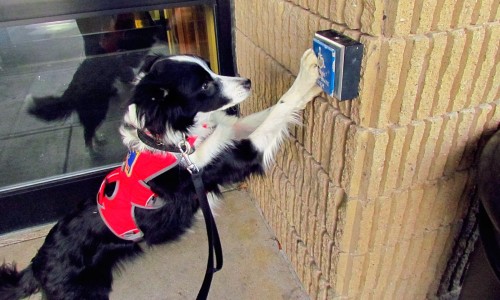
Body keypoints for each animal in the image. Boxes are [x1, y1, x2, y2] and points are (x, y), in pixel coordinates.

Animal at [0, 50, 320, 298]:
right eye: (205, 85)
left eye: (210, 68)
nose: (247, 81)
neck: (176, 143)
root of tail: (37, 265)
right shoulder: (236, 158)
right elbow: (279, 108)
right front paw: (307, 74)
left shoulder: (228, 136)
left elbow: (260, 114)